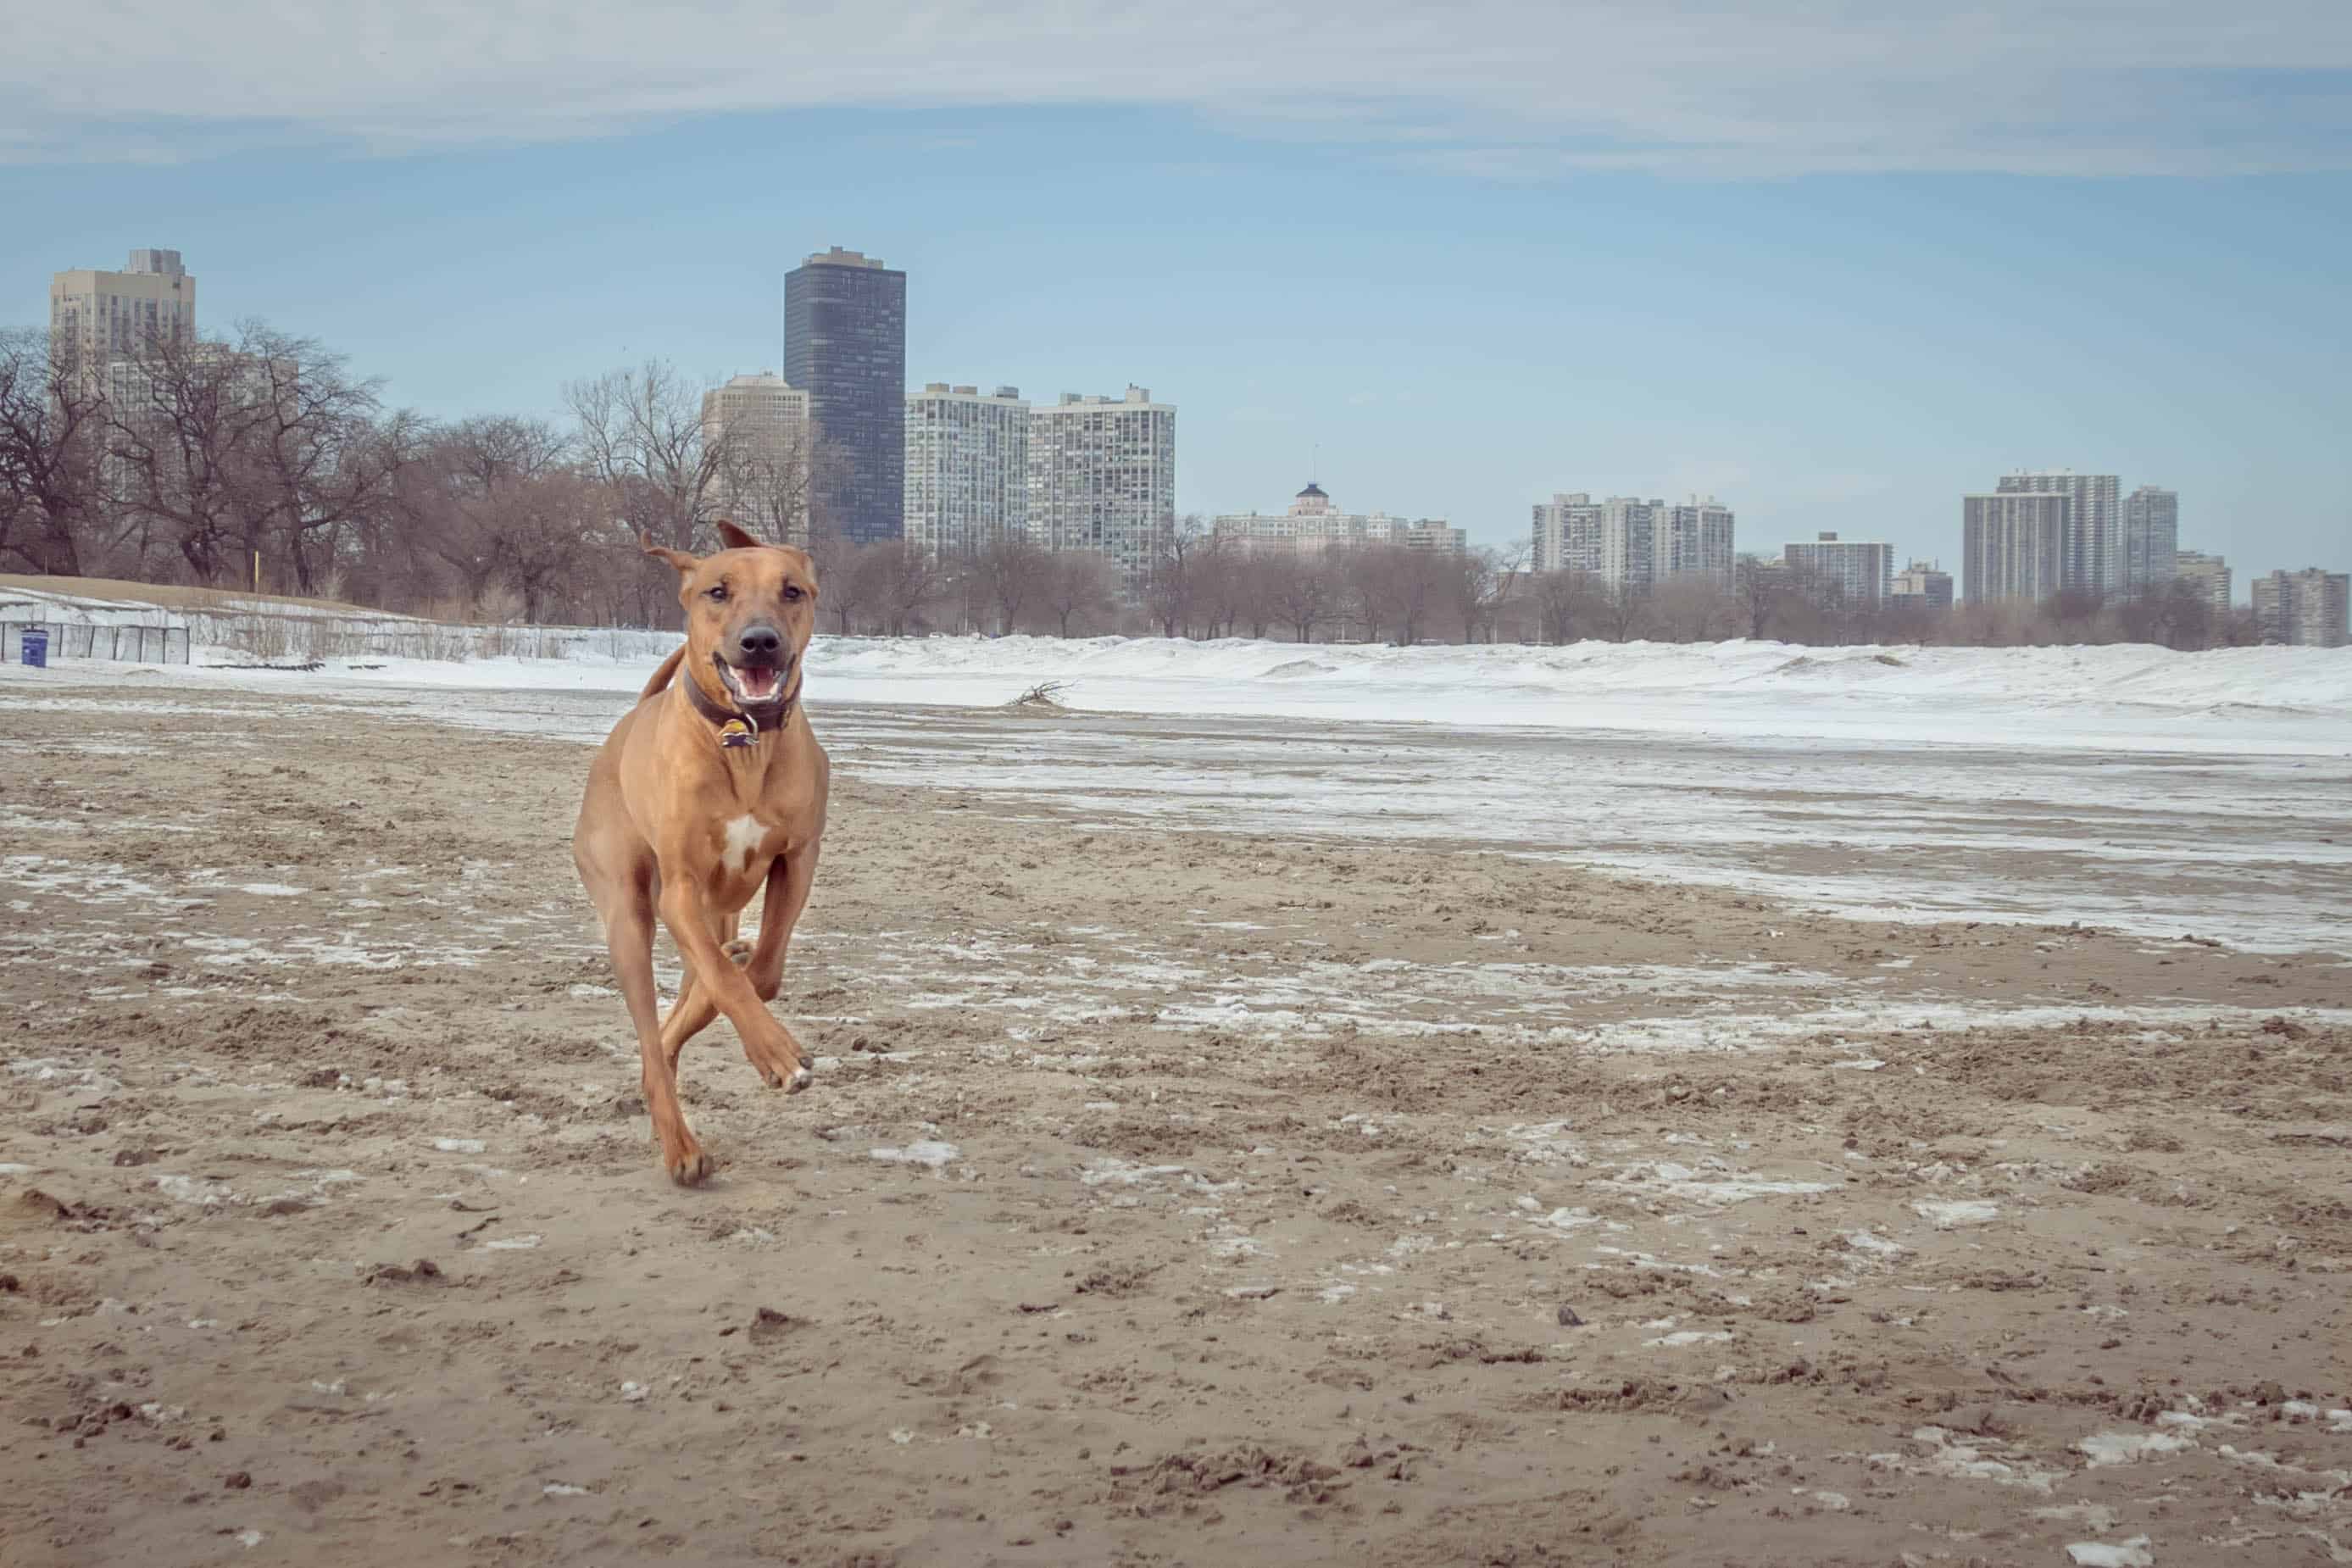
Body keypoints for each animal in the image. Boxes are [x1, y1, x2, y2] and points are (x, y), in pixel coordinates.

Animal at [574, 521, 832, 1184]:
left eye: (792, 590)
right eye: (718, 591)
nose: (760, 642)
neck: (742, 738)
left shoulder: (798, 859)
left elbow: (756, 977)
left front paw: (762, 1040)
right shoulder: (681, 889)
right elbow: (728, 983)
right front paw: (776, 1054)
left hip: (712, 912)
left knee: (686, 1003)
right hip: (627, 913)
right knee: (649, 1019)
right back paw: (679, 1146)